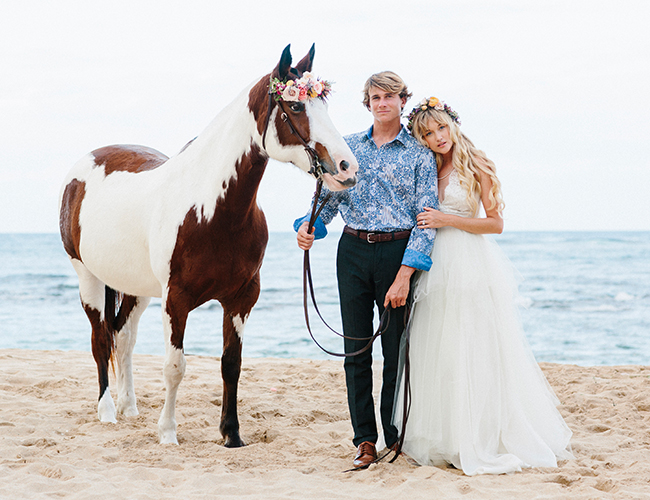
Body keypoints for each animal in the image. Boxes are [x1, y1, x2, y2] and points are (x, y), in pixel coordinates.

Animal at [58, 45, 356, 448]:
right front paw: (168, 433)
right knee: (101, 340)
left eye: (324, 104)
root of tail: (84, 166)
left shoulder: (241, 298)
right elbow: (174, 366)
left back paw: (129, 407)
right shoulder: (176, 300)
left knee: (123, 338)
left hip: (135, 288)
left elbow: (231, 364)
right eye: (295, 106)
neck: (211, 209)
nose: (347, 167)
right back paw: (107, 411)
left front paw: (232, 434)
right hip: (88, 277)